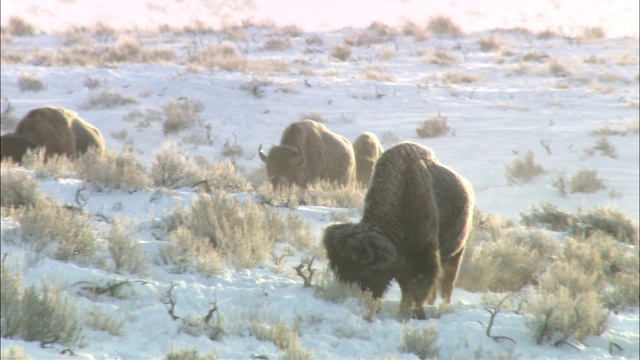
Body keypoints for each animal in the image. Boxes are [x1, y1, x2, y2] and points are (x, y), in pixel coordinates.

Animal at [322, 142, 472, 320]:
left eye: (362, 273)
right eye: (337, 270)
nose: (351, 297)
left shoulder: (423, 257)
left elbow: (417, 289)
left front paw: (418, 314)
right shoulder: (403, 264)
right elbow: (407, 290)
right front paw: (402, 310)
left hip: (457, 252)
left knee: (448, 281)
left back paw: (443, 305)